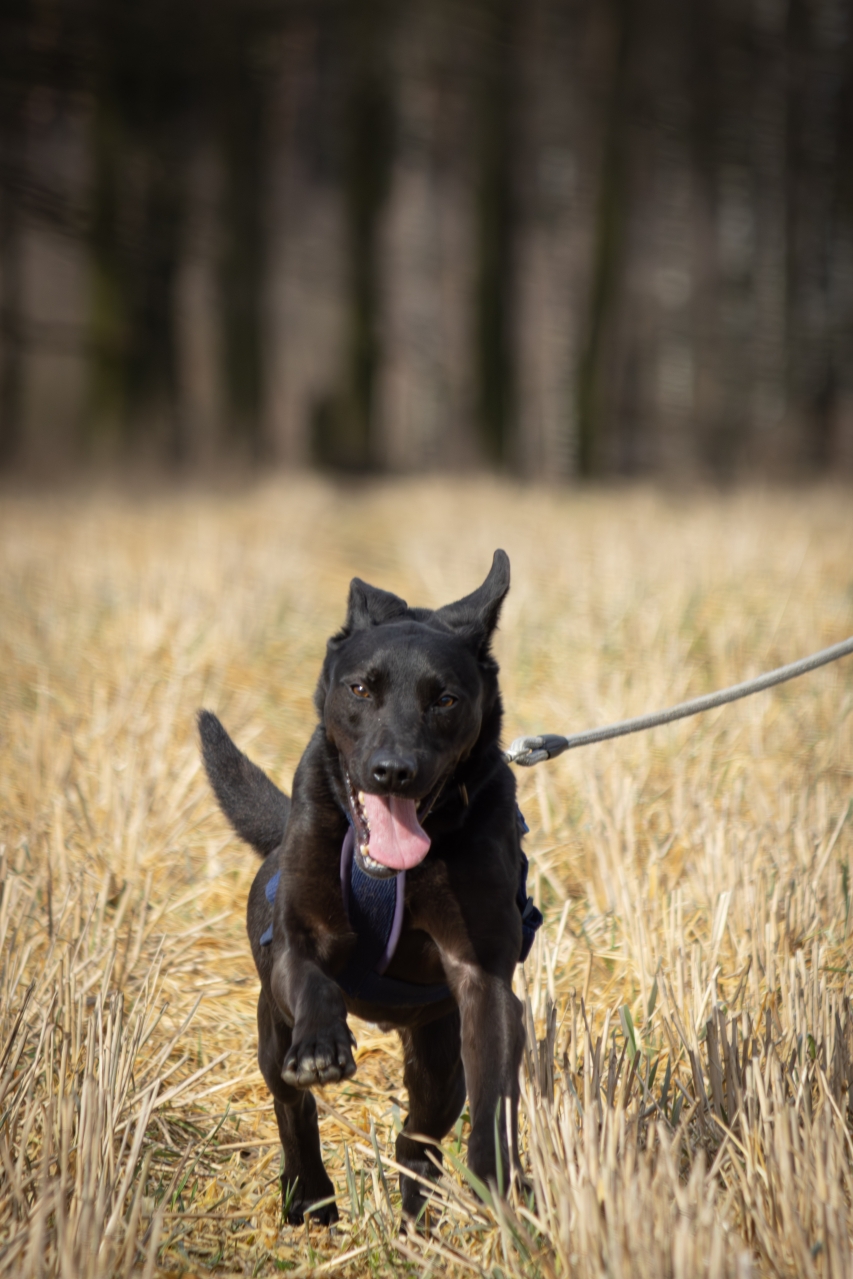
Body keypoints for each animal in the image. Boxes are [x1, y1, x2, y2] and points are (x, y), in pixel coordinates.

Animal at [199, 550, 541, 1224]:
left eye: (445, 699)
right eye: (361, 688)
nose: (393, 771)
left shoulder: (482, 978)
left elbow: (494, 1089)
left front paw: (495, 1176)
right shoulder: (299, 939)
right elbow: (314, 980)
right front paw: (323, 1046)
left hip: (438, 1057)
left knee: (417, 1138)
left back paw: (415, 1221)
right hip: (270, 1031)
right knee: (291, 1105)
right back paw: (309, 1192)